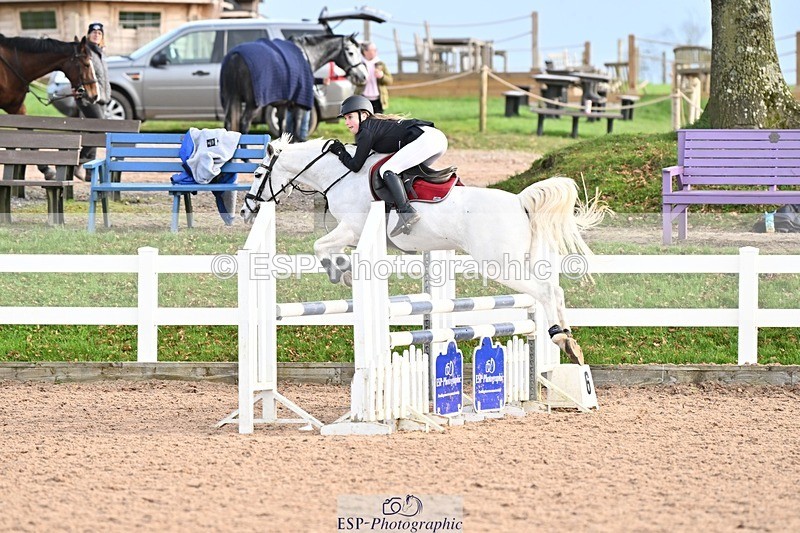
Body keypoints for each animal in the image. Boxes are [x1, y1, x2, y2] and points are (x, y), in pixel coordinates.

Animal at [220, 34, 367, 135]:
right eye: (351, 52)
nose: (363, 76)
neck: (306, 54)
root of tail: (235, 56)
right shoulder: (297, 105)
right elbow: (295, 129)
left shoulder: (282, 105)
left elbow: (282, 126)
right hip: (253, 105)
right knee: (244, 123)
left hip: (230, 100)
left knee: (228, 123)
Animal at [241, 135, 609, 364]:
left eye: (257, 173)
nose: (246, 210)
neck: (342, 173)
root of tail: (520, 202)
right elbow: (326, 246)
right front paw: (343, 271)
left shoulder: (354, 228)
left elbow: (321, 246)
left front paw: (340, 273)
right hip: (525, 260)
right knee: (555, 290)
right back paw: (570, 343)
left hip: (500, 266)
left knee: (545, 291)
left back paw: (561, 339)